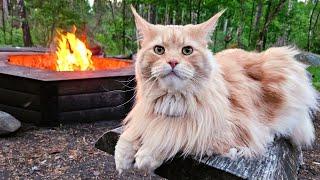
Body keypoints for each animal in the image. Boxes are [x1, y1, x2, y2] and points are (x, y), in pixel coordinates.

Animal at [114, 6, 318, 174]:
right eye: (159, 50)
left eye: (187, 51)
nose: (172, 62)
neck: (172, 101)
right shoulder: (144, 115)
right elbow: (129, 134)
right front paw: (122, 156)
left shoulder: (223, 128)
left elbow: (173, 133)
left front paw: (146, 154)